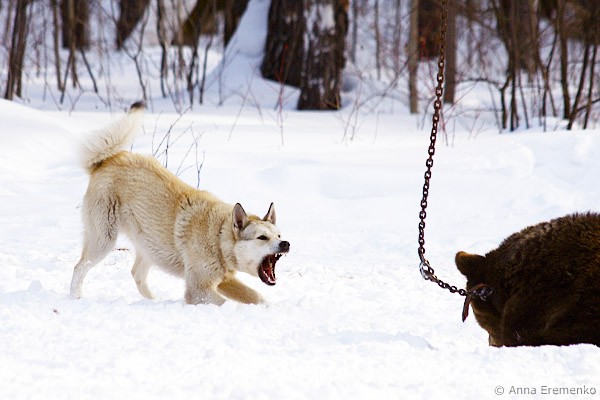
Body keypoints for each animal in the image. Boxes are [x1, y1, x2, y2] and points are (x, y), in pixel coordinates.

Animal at [69, 102, 290, 305]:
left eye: (278, 235)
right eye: (262, 237)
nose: (285, 244)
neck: (218, 237)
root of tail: (105, 161)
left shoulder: (223, 281)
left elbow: (259, 298)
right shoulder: (197, 289)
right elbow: (226, 303)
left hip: (149, 247)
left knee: (136, 274)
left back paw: (153, 301)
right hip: (104, 240)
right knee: (79, 267)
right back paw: (75, 297)